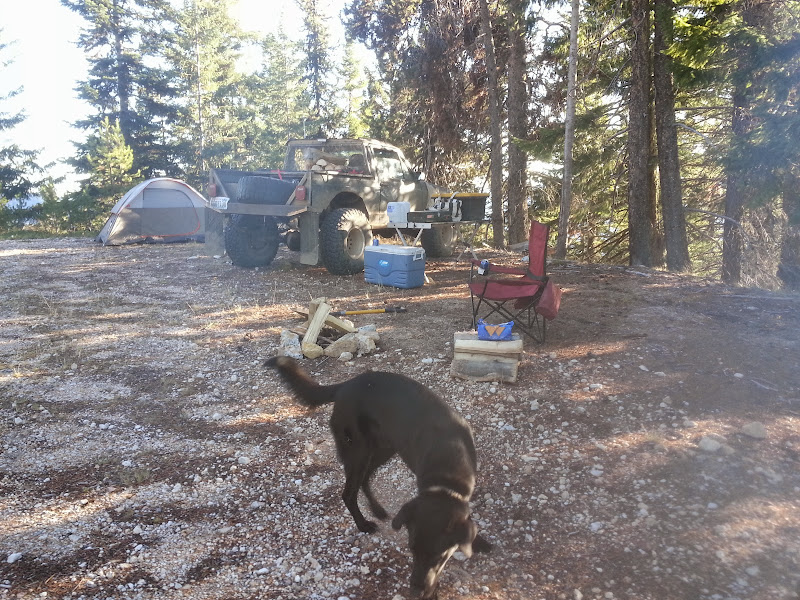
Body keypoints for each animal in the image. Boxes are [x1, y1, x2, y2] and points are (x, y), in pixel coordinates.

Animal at [266, 356, 491, 599]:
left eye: (440, 557)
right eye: (411, 549)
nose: (416, 591)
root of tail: (346, 385)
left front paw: (480, 542)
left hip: (385, 448)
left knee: (365, 479)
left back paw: (377, 510)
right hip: (358, 451)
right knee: (348, 492)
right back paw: (363, 524)